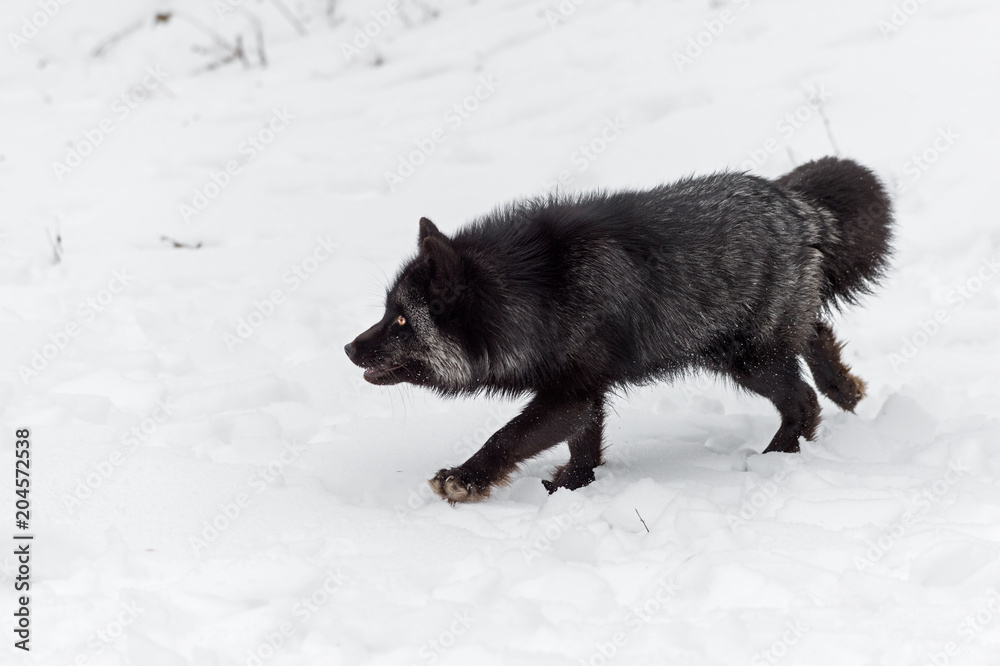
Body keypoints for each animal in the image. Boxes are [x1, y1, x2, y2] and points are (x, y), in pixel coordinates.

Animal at [345, 157, 893, 504]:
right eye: (387, 312)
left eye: (401, 320)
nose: (349, 348)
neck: (541, 290)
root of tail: (797, 204)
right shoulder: (584, 392)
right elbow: (583, 446)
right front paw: (571, 489)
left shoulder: (570, 393)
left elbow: (507, 437)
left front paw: (466, 479)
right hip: (743, 347)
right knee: (817, 335)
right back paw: (846, 388)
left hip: (748, 359)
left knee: (804, 400)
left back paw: (775, 458)